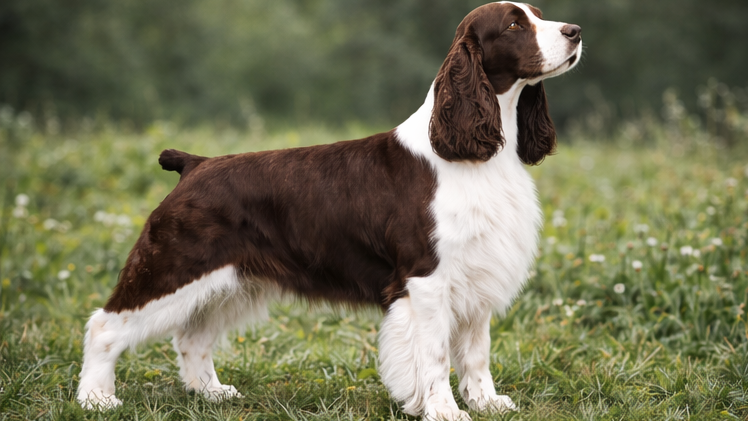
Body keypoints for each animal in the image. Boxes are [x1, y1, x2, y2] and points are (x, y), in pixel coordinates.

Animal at [77, 2, 582, 419]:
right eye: (515, 25)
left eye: (539, 14)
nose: (575, 31)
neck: (472, 155)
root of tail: (194, 164)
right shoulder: (427, 278)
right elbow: (436, 355)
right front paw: (445, 411)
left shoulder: (477, 273)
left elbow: (476, 351)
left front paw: (487, 403)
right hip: (172, 268)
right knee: (104, 325)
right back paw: (97, 398)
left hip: (230, 282)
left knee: (192, 337)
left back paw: (212, 393)